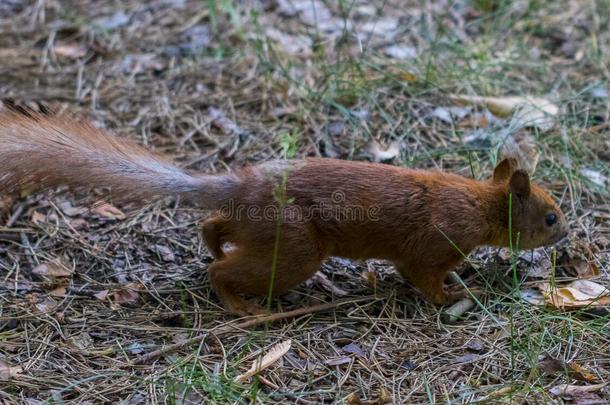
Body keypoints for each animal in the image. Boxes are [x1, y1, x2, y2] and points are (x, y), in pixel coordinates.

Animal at [0, 105, 564, 314]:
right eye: (551, 216)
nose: (567, 236)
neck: (476, 202)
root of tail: (241, 186)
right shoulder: (434, 241)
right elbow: (423, 276)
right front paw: (456, 294)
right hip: (293, 249)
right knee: (224, 271)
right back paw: (242, 306)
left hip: (258, 230)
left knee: (213, 226)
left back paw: (214, 244)